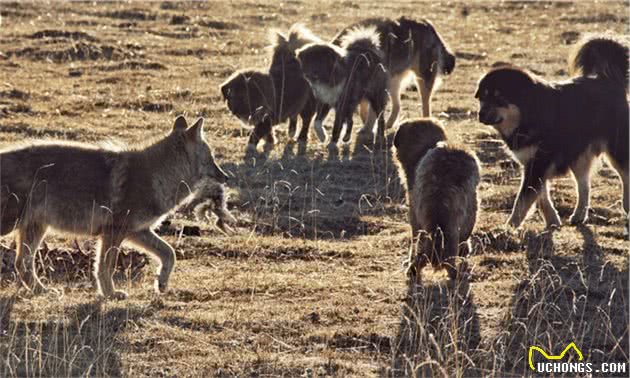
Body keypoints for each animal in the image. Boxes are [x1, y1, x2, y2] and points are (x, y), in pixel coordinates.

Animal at [0, 115, 227, 298]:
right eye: (212, 158)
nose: (226, 177)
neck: (157, 175)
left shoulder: (137, 232)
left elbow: (169, 253)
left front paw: (161, 284)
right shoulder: (113, 233)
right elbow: (105, 268)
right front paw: (111, 294)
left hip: (35, 229)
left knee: (22, 264)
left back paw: (43, 291)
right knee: (22, 263)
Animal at [222, 23, 320, 151]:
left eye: (245, 97)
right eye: (233, 96)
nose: (236, 111)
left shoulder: (264, 119)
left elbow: (256, 133)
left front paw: (251, 147)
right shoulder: (265, 119)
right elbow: (267, 132)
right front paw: (270, 141)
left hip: (308, 104)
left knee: (306, 121)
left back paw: (301, 138)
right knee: (294, 117)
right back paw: (291, 132)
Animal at [476, 35, 628, 229]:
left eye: (499, 97)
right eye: (483, 97)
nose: (480, 114)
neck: (529, 114)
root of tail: (609, 79)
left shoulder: (538, 162)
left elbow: (522, 200)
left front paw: (509, 227)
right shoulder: (532, 164)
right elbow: (540, 196)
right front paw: (552, 220)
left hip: (617, 149)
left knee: (625, 175)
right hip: (578, 155)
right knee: (584, 185)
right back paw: (579, 215)